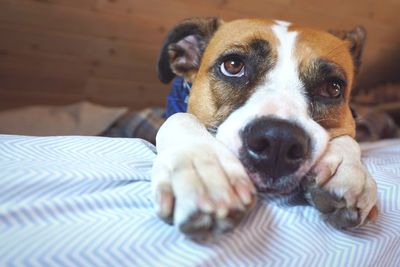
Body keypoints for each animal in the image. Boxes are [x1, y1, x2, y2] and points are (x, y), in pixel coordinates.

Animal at [151, 17, 378, 242]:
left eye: (332, 88)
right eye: (232, 65)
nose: (279, 140)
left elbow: (350, 139)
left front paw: (347, 171)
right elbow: (180, 117)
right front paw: (202, 165)